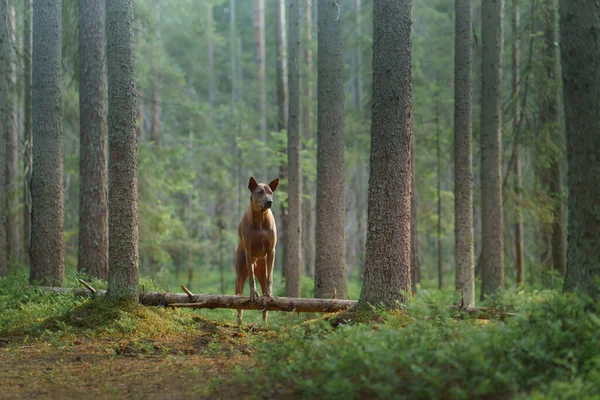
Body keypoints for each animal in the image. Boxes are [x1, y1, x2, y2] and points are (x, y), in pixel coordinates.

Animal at [236, 177, 280, 324]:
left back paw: (264, 323)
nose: (269, 202)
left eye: (271, 192)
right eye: (260, 192)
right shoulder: (249, 252)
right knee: (238, 298)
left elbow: (270, 278)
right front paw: (253, 293)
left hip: (262, 269)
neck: (260, 218)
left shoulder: (271, 251)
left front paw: (270, 293)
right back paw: (239, 322)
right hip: (240, 273)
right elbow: (251, 278)